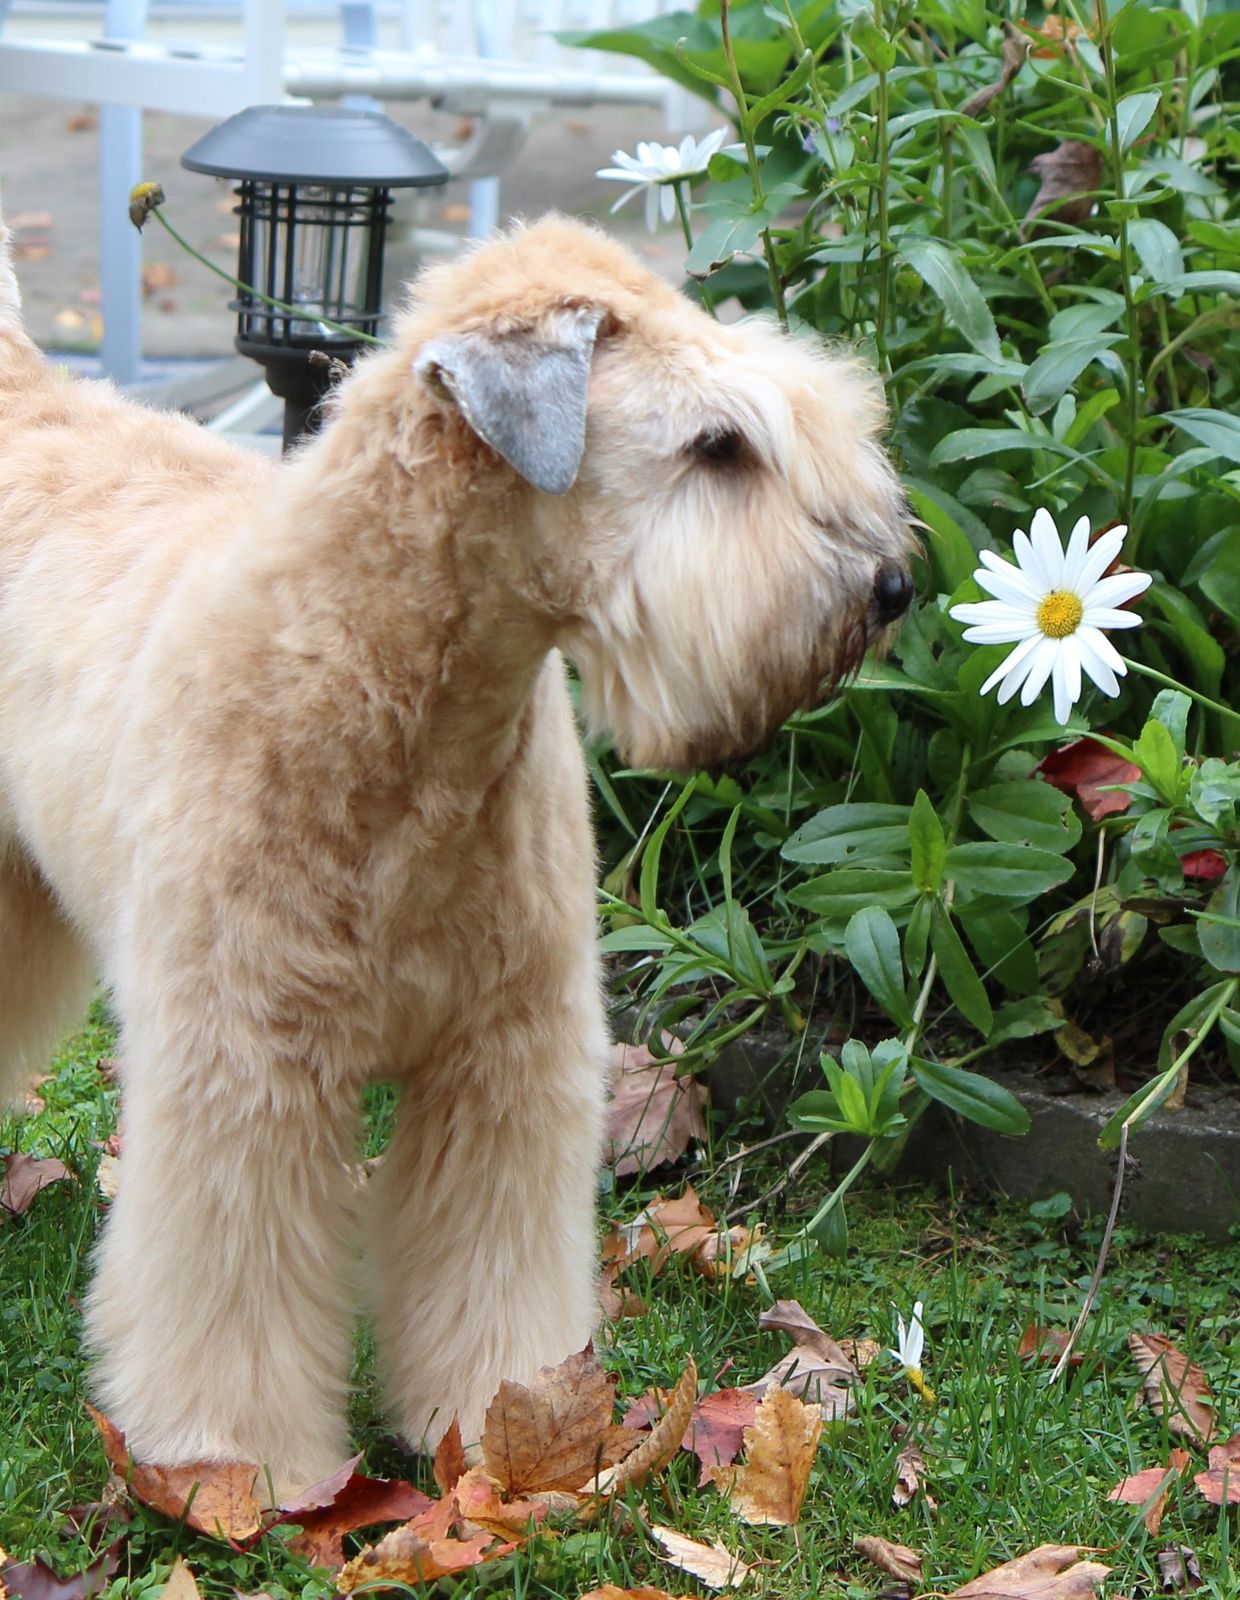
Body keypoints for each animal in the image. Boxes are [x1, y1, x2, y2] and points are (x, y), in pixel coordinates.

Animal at [0, 206, 913, 1493]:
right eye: (718, 445)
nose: (892, 584)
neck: (388, 698)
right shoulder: (244, 1070)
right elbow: (231, 1291)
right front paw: (242, 1469)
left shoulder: (504, 1060)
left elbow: (491, 1267)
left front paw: (512, 1427)